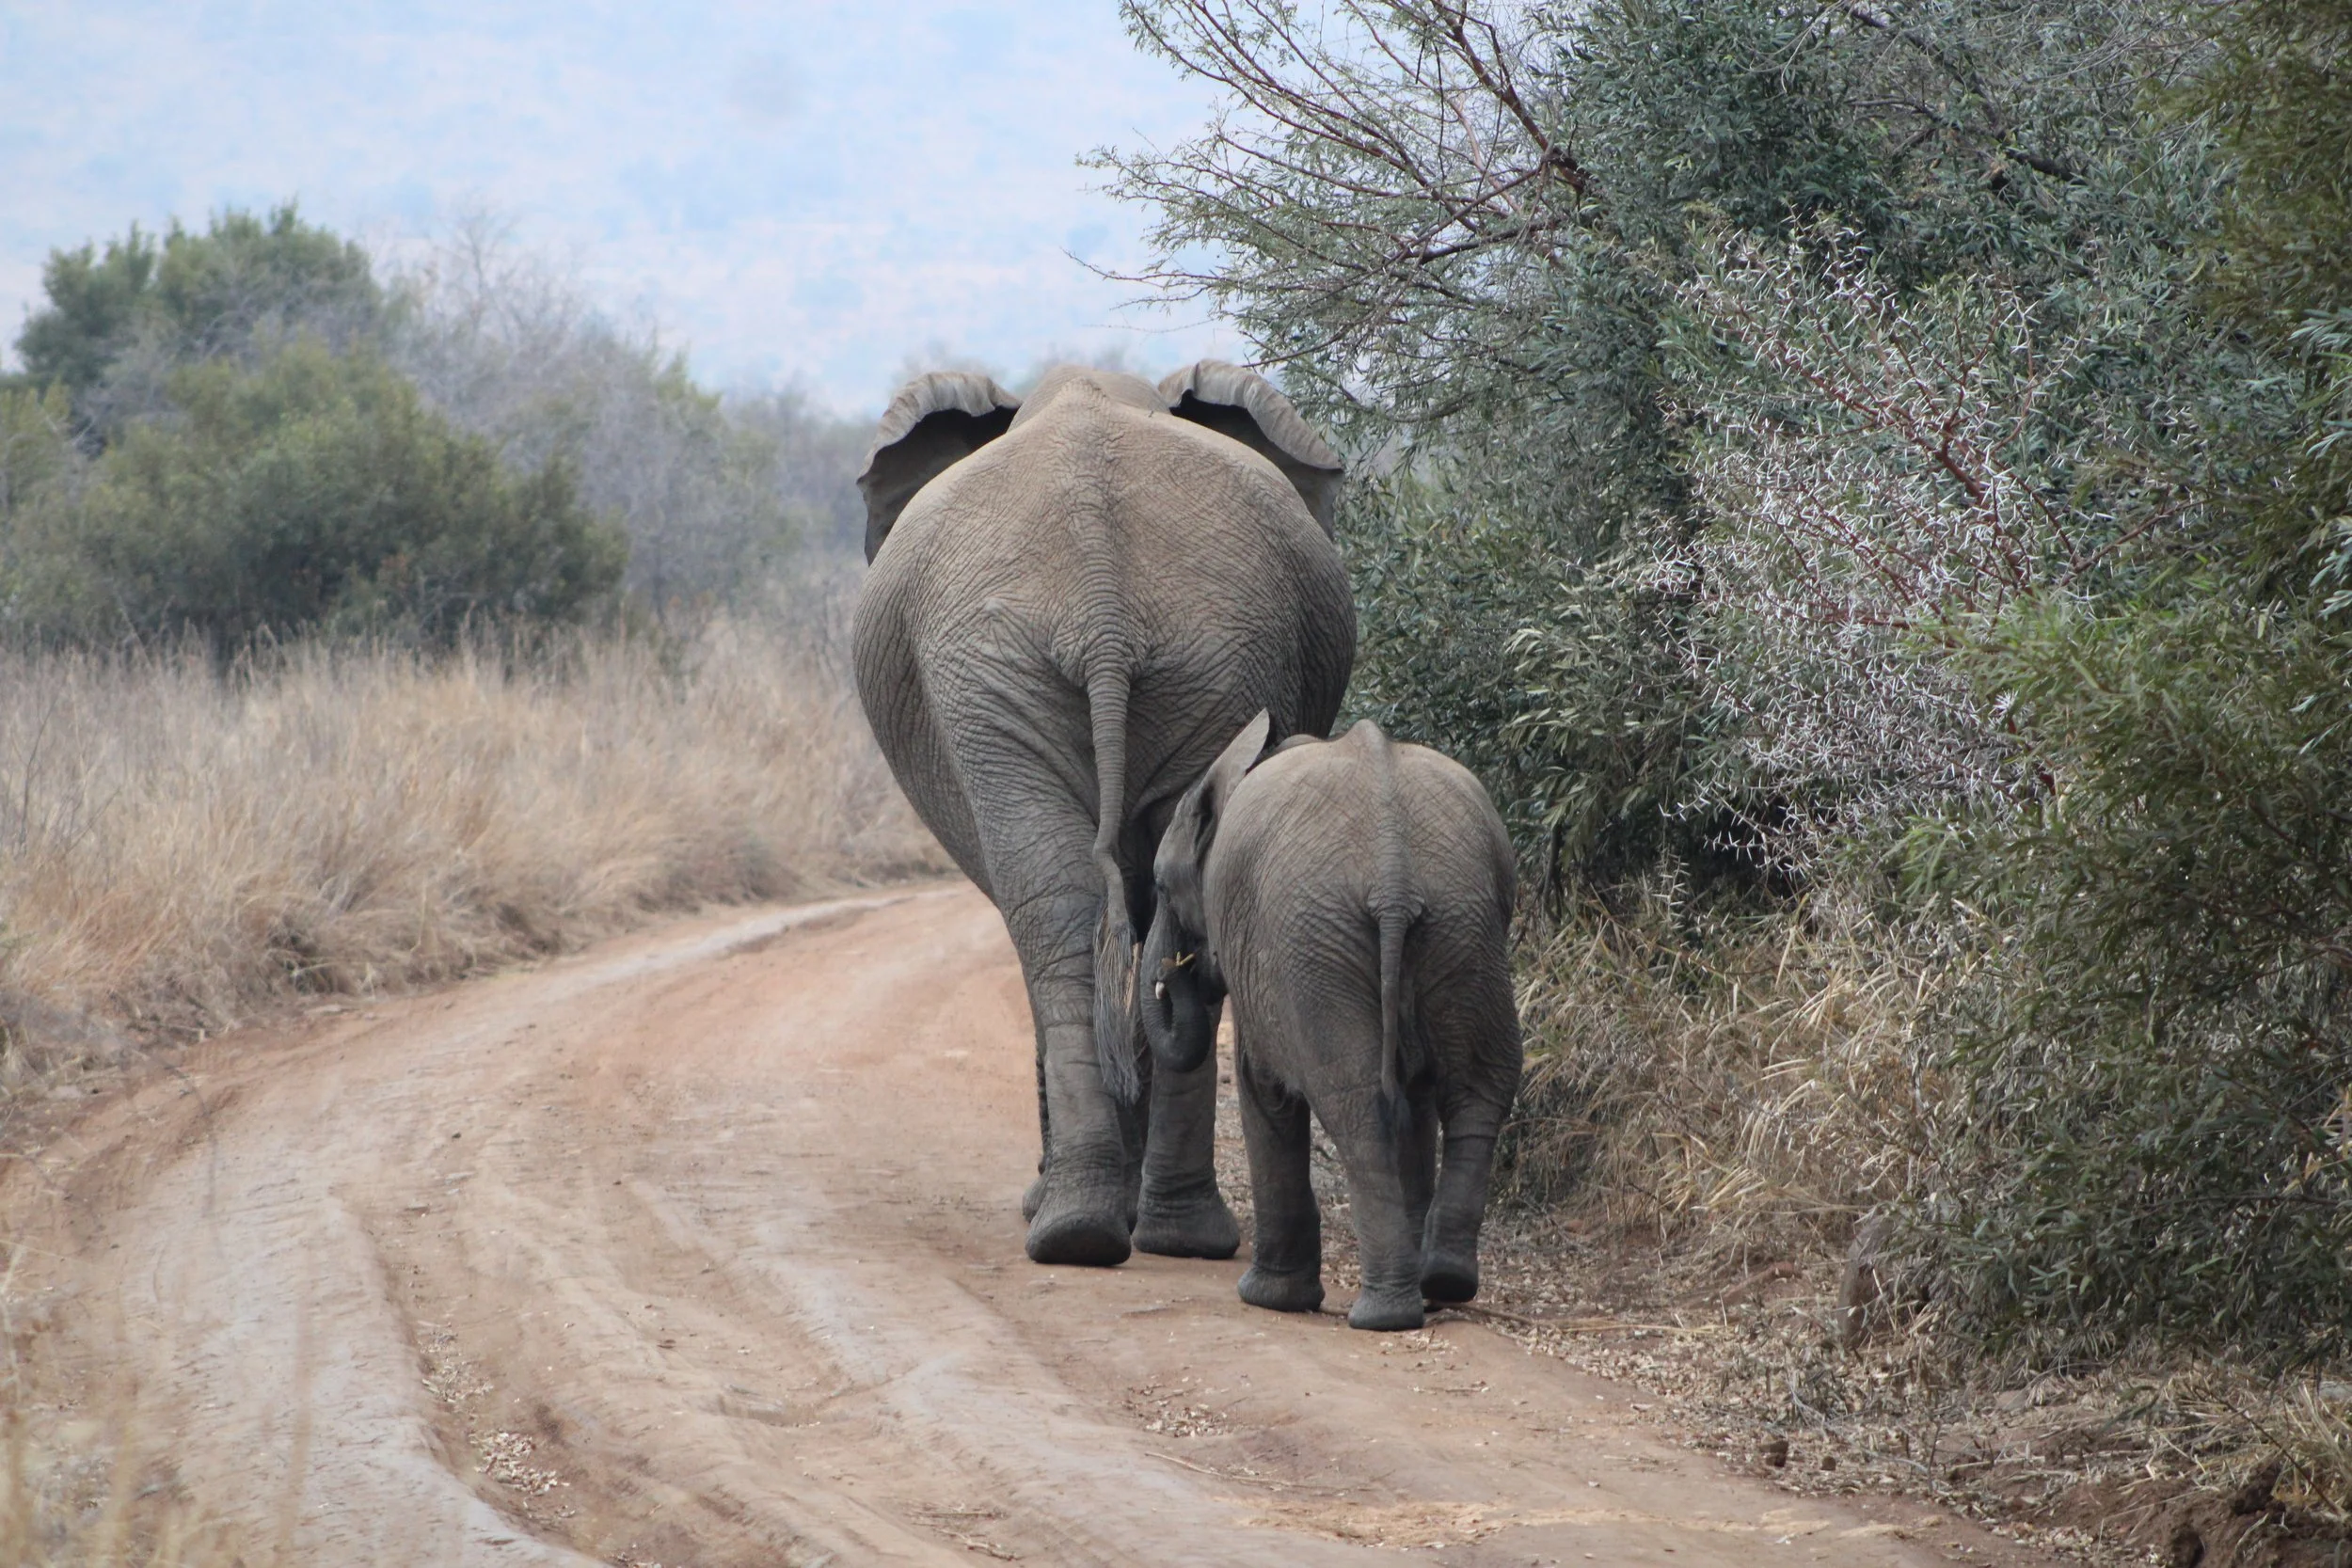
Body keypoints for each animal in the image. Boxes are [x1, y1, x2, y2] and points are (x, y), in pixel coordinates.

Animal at [851, 361, 1356, 1268]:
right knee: (1108, 917)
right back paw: (1131, 1232)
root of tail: (1102, 595)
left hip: (1085, 666)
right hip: (1120, 666)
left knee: (1062, 921)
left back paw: (1093, 1228)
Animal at [1141, 713, 1523, 1330]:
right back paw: (1442, 1283)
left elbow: (1264, 1088)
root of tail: (1393, 874)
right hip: (1464, 927)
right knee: (1477, 1088)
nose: (1176, 968)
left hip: (1318, 945)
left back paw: (1383, 1314)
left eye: (1158, 885)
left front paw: (1268, 1299)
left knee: (1357, 1105)